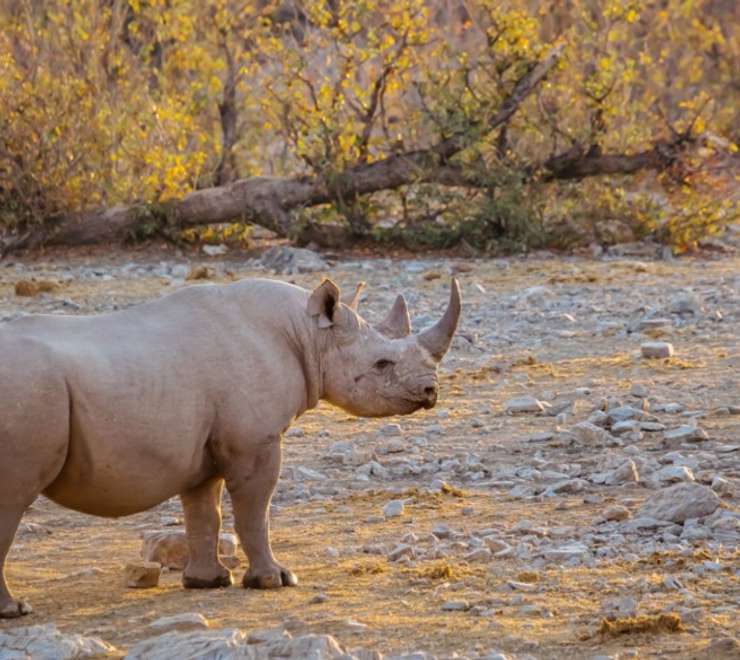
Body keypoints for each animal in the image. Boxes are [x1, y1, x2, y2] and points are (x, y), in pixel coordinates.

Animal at [0, 275, 461, 618]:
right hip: (28, 391)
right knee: (12, 499)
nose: (431, 392)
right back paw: (15, 610)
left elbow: (205, 511)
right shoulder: (255, 441)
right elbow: (255, 509)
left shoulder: (202, 448)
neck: (309, 335)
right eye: (382, 364)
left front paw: (207, 582)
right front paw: (275, 581)